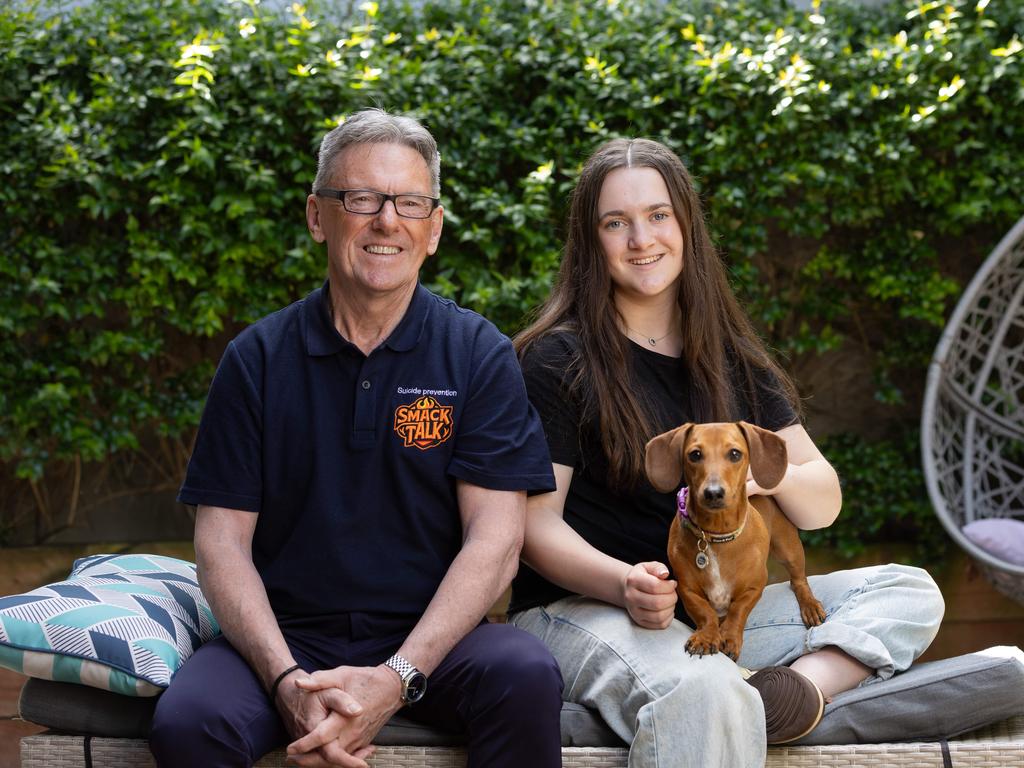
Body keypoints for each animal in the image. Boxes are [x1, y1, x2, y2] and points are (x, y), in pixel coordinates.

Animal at [643, 421, 827, 663]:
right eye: (695, 455)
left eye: (734, 453)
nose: (713, 493)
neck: (715, 536)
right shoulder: (686, 588)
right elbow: (704, 611)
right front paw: (707, 636)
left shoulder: (755, 585)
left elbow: (738, 609)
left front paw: (729, 637)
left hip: (788, 549)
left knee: (798, 580)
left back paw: (810, 606)